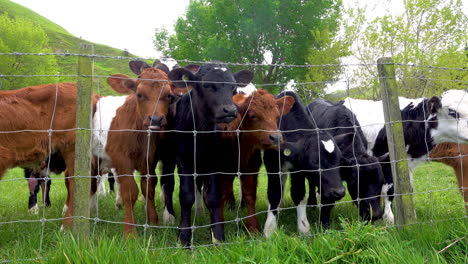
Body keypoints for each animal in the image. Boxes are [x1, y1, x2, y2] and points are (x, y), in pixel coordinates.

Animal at [170, 62, 254, 245]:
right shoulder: (183, 160)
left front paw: (217, 235)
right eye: (207, 85)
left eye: (233, 88)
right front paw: (184, 236)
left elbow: (213, 197)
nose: (230, 110)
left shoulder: (215, 162)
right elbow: (186, 196)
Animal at [262, 91, 346, 237]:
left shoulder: (298, 169)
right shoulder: (272, 164)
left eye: (340, 160)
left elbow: (299, 194)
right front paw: (270, 229)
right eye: (315, 161)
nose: (339, 192)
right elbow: (274, 194)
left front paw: (303, 228)